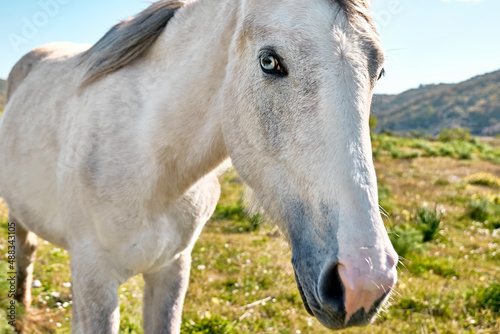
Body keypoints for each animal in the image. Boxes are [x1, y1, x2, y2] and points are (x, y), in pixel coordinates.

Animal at [0, 0, 398, 332]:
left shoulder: (173, 269)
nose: (363, 280)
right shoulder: (95, 277)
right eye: (269, 61)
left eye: (378, 72)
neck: (148, 164)